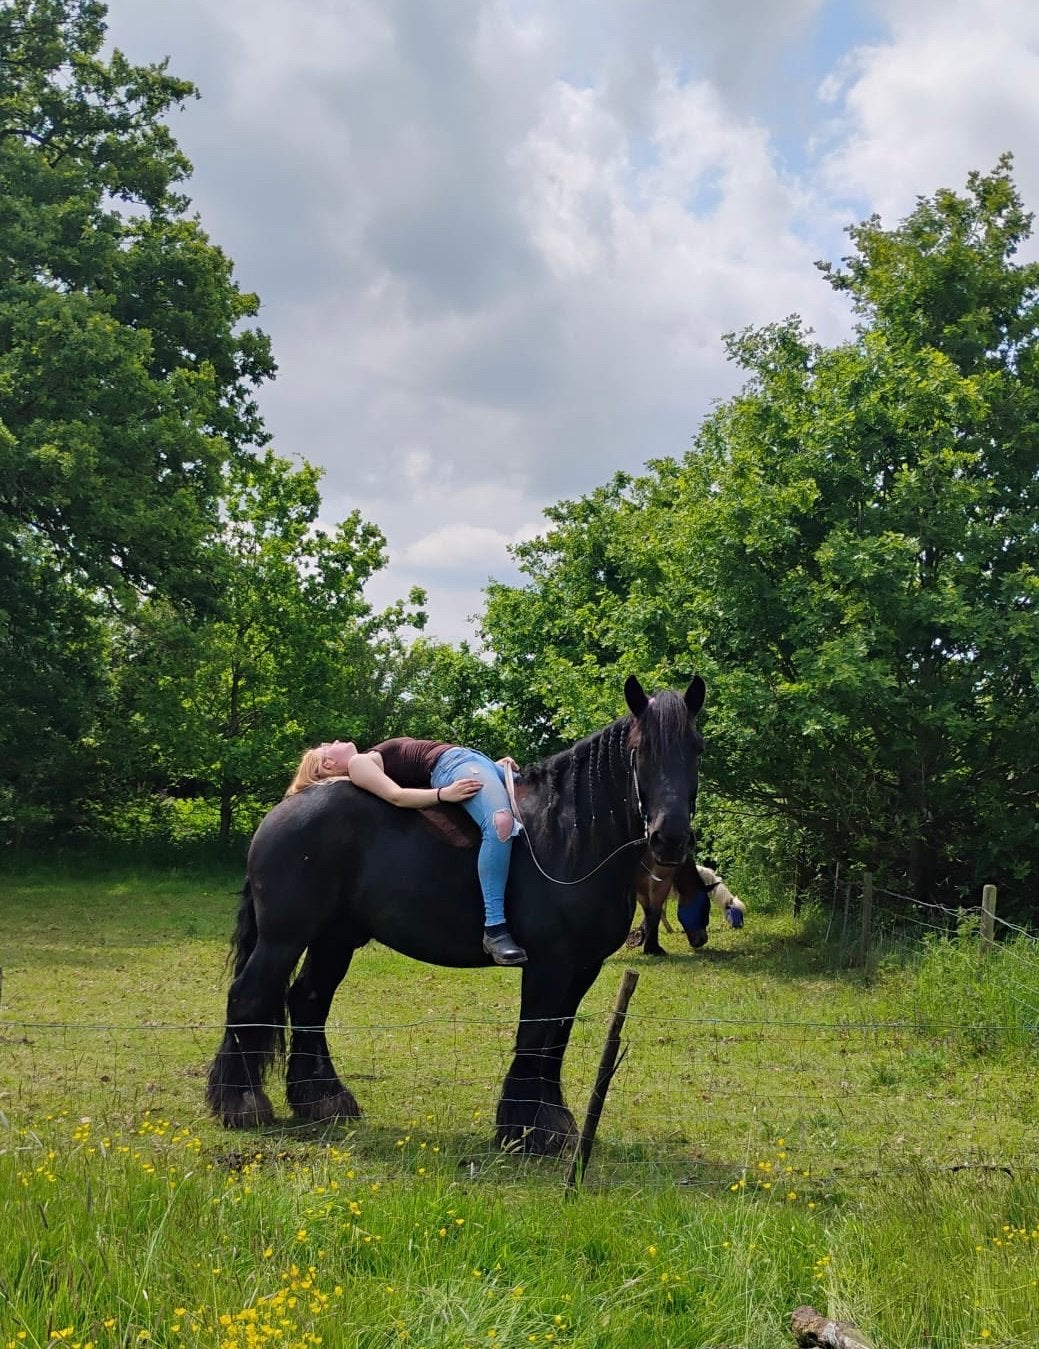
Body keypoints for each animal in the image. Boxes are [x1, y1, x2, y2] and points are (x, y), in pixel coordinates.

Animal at [205, 675, 706, 1156]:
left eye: (697, 749)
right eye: (640, 751)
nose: (670, 839)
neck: (571, 835)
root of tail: (284, 811)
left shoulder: (583, 967)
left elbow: (556, 1042)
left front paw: (551, 1126)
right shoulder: (549, 965)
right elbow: (535, 1036)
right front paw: (527, 1132)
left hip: (335, 939)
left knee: (309, 1000)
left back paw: (323, 1100)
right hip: (284, 937)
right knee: (249, 997)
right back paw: (242, 1104)